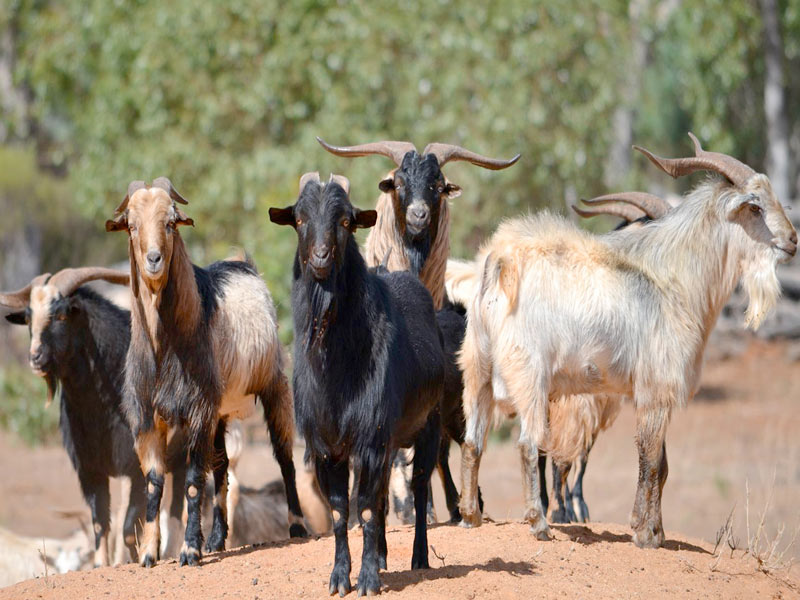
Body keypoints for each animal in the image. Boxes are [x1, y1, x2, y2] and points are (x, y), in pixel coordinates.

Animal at [0, 270, 186, 564]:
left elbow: (128, 528)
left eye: (62, 315)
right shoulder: (90, 471)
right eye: (29, 318)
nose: (35, 357)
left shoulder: (135, 468)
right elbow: (101, 526)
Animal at [106, 177, 306, 568]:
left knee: (285, 456)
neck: (164, 349)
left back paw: (297, 527)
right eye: (132, 225)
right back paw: (216, 539)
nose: (154, 260)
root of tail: (244, 265)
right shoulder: (149, 417)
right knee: (223, 465)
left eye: (170, 222)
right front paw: (150, 553)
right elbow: (155, 482)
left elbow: (193, 480)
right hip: (222, 410)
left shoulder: (198, 410)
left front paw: (188, 551)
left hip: (274, 386)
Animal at [268, 170, 444, 596]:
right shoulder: (326, 446)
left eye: (346, 222)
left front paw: (366, 581)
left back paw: (419, 558)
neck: (337, 370)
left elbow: (362, 506)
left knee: (417, 488)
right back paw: (381, 556)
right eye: (299, 219)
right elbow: (340, 511)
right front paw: (340, 577)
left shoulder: (369, 439)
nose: (320, 258)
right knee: (382, 498)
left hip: (427, 425)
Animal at [454, 134, 796, 548]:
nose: (793, 241)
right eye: (755, 206)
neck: (674, 279)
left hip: (477, 365)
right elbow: (650, 460)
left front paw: (658, 532)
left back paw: (470, 517)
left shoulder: (649, 393)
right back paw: (538, 524)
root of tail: (500, 264)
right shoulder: (656, 389)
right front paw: (643, 533)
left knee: (473, 440)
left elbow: (662, 463)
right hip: (528, 373)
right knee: (527, 443)